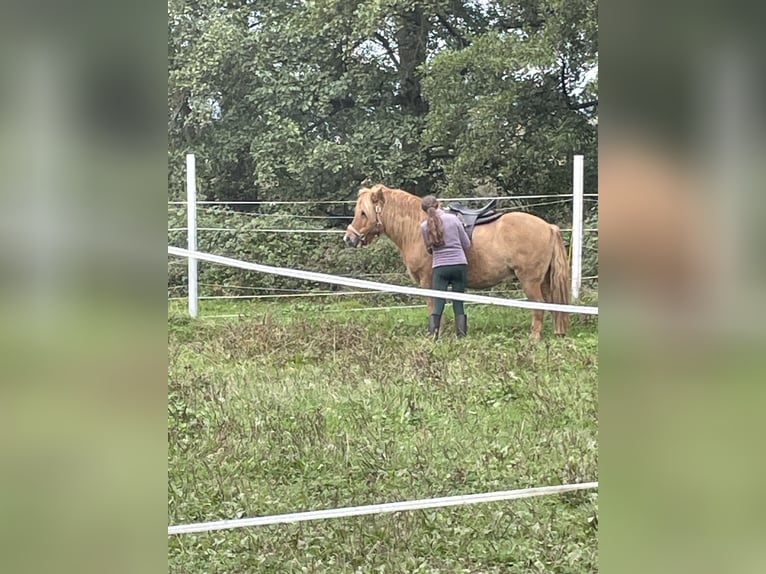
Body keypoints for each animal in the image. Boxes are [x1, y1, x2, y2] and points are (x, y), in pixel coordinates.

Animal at [344, 184, 572, 340]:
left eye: (363, 213)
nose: (349, 238)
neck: (418, 226)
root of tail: (549, 227)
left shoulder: (428, 282)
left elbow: (433, 307)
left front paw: (435, 334)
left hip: (530, 281)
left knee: (538, 306)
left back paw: (534, 338)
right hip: (544, 281)